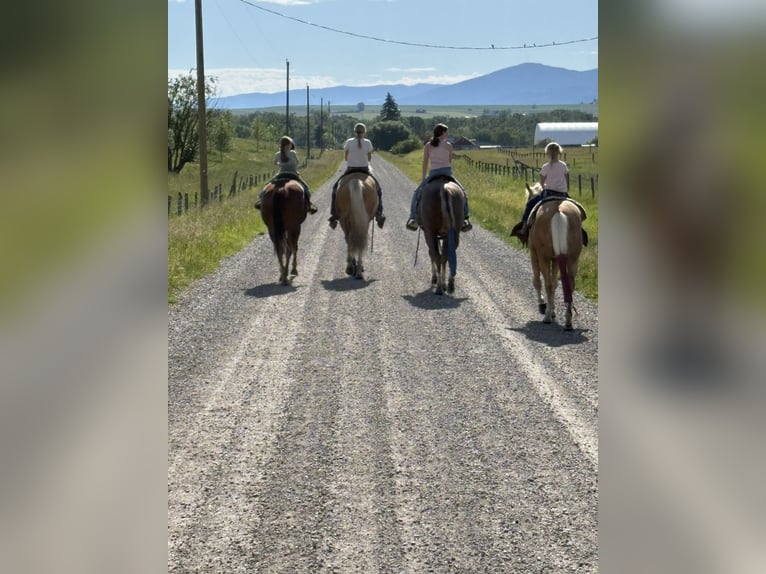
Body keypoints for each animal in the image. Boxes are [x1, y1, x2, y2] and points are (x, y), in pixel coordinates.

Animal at [519, 182, 584, 330]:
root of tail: (558, 211)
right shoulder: (555, 259)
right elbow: (555, 283)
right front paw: (553, 309)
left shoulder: (534, 253)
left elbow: (538, 281)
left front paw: (543, 304)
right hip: (572, 258)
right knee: (569, 284)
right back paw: (568, 320)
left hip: (543, 257)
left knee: (547, 283)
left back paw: (548, 316)